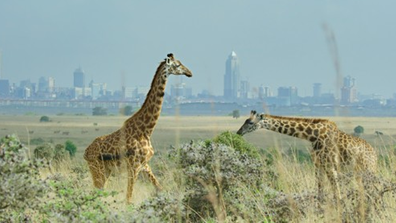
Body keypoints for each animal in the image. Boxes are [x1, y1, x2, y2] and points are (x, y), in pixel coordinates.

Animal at [84, 53, 193, 203]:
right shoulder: (134, 166)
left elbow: (160, 188)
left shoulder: (144, 165)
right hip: (97, 168)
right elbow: (128, 198)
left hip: (105, 170)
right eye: (177, 65)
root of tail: (86, 152)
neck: (146, 130)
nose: (189, 72)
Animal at [237, 110, 376, 204]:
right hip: (360, 171)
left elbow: (336, 190)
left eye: (250, 122)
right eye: (245, 121)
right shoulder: (318, 163)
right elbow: (320, 188)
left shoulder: (330, 163)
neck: (313, 135)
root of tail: (374, 155)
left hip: (367, 168)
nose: (239, 132)